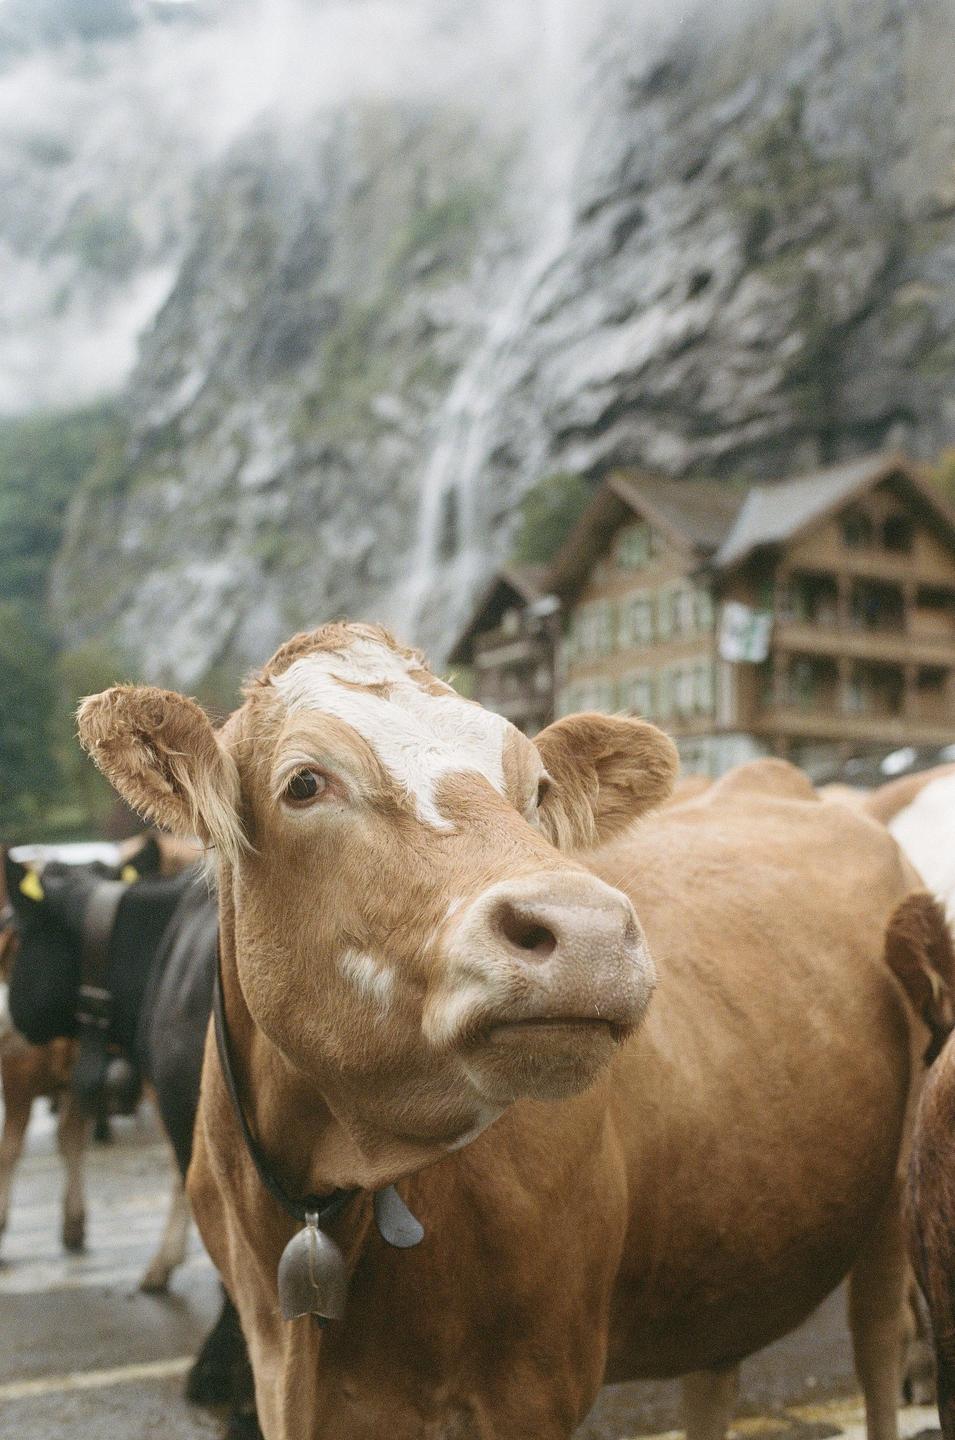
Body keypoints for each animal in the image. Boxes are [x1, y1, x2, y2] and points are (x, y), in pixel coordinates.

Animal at [77, 622, 953, 1440]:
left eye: (534, 787)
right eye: (303, 782)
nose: (588, 931)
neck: (320, 1195)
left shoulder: (535, 1381)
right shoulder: (278, 1370)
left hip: (889, 1224)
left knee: (876, 1354)